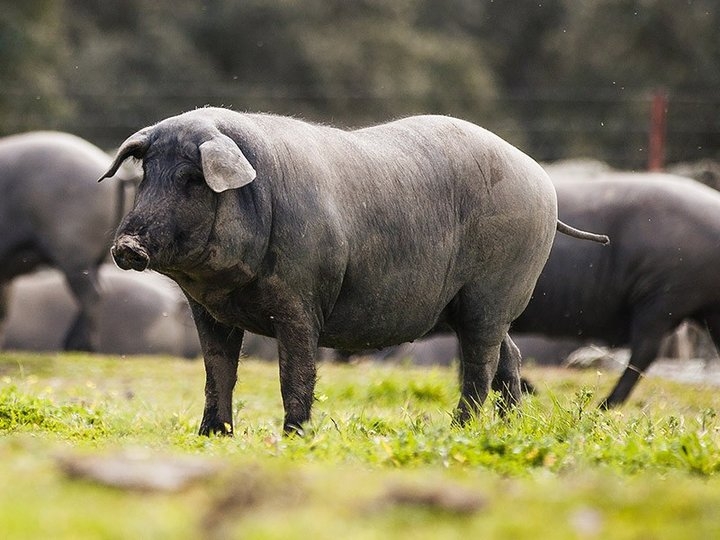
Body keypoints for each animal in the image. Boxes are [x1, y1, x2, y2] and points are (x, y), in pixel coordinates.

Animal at [0, 131, 131, 350]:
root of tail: (116, 177)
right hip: (94, 257)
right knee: (99, 290)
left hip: (73, 253)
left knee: (91, 293)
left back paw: (77, 346)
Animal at [100, 108, 608, 434]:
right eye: (147, 175)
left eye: (191, 179)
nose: (126, 246)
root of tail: (541, 180)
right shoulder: (207, 310)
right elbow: (217, 371)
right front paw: (211, 436)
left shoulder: (300, 300)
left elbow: (296, 373)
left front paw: (295, 436)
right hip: (484, 306)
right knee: (510, 356)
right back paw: (507, 428)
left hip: (494, 291)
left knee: (479, 365)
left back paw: (458, 430)